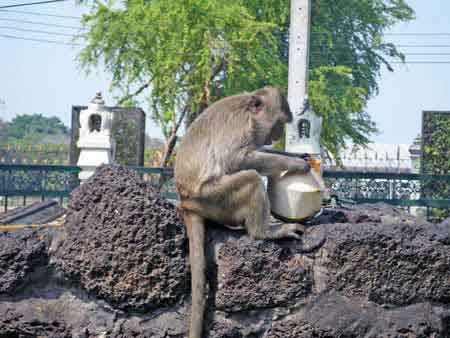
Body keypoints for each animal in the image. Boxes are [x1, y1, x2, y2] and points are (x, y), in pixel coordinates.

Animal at [174, 86, 326, 338]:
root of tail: (186, 202)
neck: (250, 110)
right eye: (278, 123)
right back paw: (264, 232)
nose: (276, 136)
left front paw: (297, 156)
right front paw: (295, 165)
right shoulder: (241, 126)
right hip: (214, 198)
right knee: (251, 177)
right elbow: (238, 160)